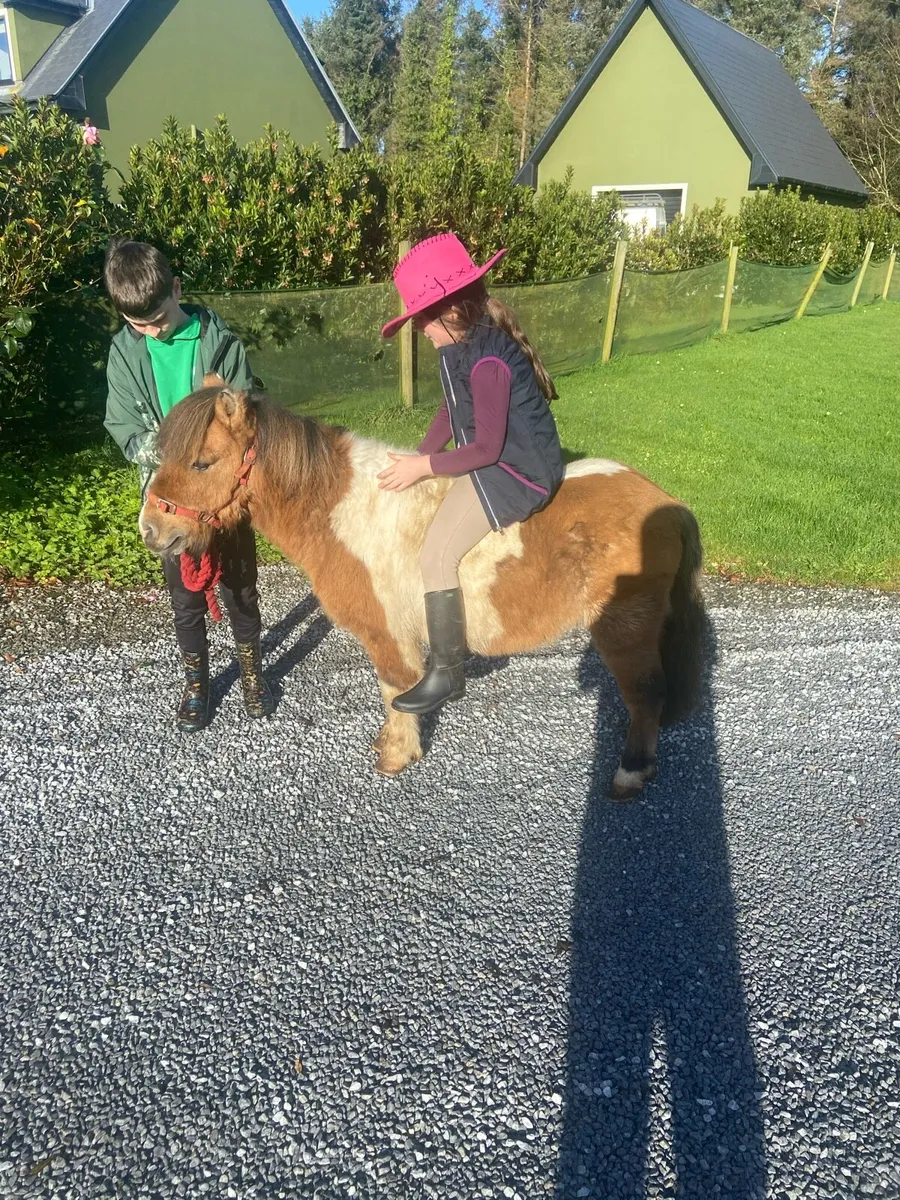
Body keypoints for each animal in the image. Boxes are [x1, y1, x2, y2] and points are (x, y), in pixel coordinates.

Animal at [139, 382, 706, 799]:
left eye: (202, 462)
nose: (150, 529)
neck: (341, 509)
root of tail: (667, 503)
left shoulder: (387, 632)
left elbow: (395, 689)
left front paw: (396, 755)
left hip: (625, 631)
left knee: (645, 695)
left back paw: (630, 774)